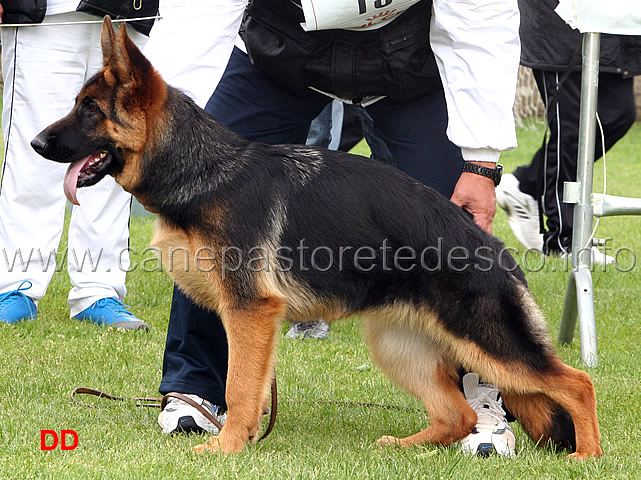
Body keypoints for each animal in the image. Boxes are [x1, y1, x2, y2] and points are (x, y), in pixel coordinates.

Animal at [30, 18, 600, 460]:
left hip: (486, 342)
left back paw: (586, 455)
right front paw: (239, 440)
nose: (34, 143)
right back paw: (406, 447)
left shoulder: (251, 313)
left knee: (576, 383)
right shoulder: (249, 318)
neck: (204, 170)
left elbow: (240, 387)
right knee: (455, 413)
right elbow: (248, 387)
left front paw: (227, 448)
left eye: (88, 110)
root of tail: (493, 249)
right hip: (400, 346)